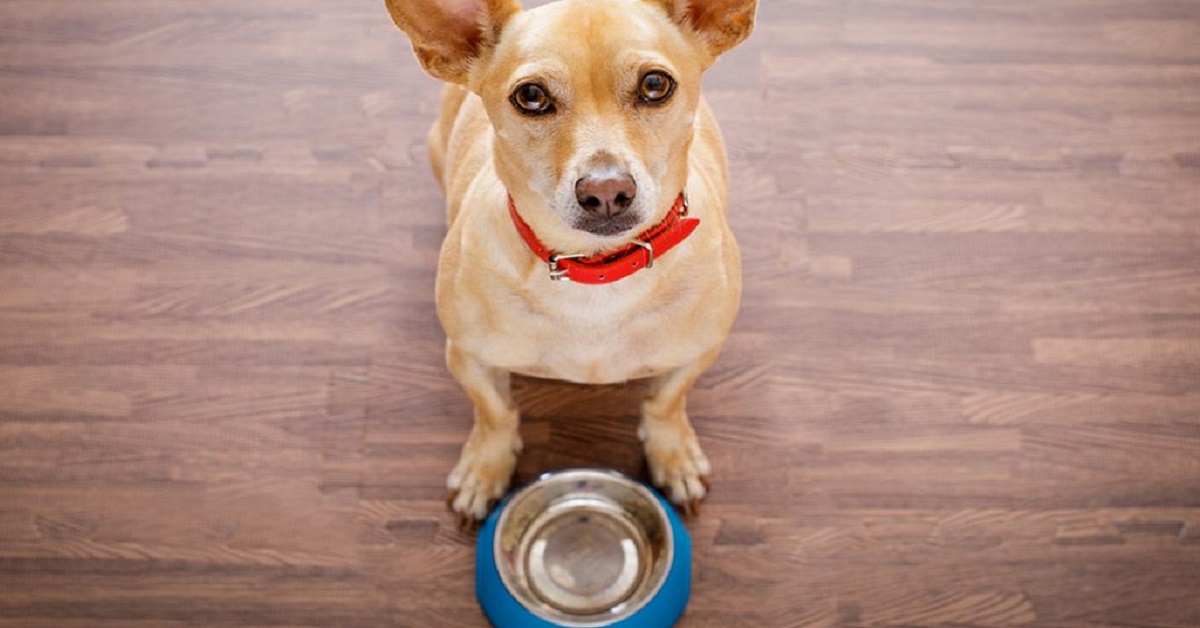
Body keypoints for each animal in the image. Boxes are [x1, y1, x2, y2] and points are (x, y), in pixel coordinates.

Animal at [388, 0, 753, 521]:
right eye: (531, 96)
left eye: (655, 85)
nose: (606, 191)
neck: (595, 273)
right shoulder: (468, 357)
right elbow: (494, 413)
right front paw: (485, 468)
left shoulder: (697, 352)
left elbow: (665, 402)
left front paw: (673, 454)